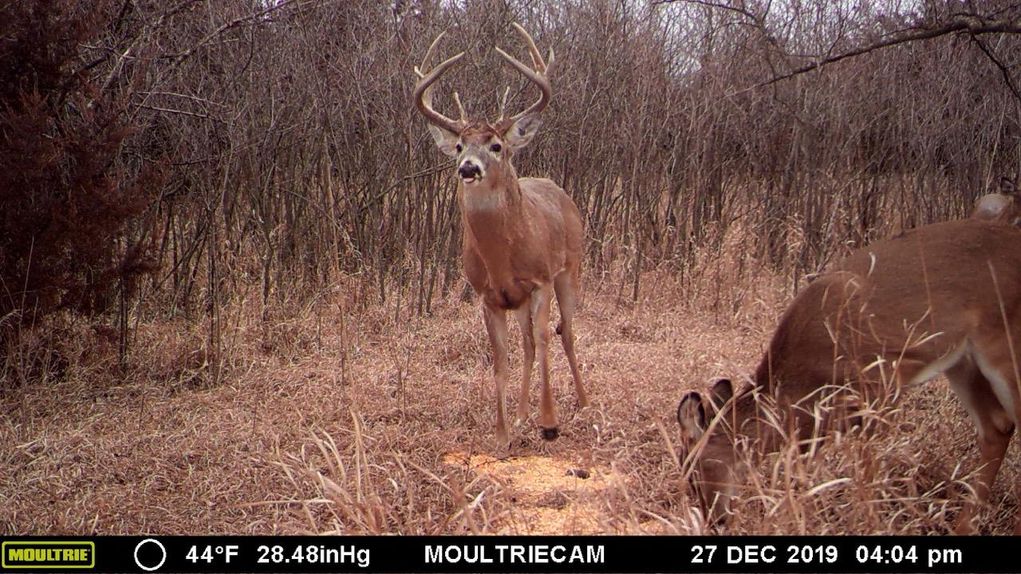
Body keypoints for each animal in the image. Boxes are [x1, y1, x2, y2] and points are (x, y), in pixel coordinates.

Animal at [412, 24, 588, 446]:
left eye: (496, 145)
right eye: (459, 145)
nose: (467, 167)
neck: (503, 255)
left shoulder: (541, 280)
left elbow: (545, 340)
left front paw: (549, 423)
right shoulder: (488, 296)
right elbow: (502, 360)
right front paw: (503, 433)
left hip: (571, 269)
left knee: (566, 333)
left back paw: (583, 401)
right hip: (521, 299)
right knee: (527, 345)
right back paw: (524, 416)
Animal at [676, 218, 1021, 534]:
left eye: (693, 470)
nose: (716, 520)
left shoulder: (881, 389)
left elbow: (868, 474)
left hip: (1003, 348)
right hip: (962, 362)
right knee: (998, 426)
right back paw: (965, 526)